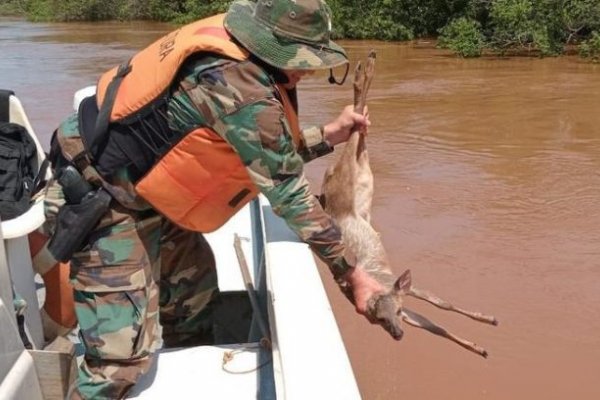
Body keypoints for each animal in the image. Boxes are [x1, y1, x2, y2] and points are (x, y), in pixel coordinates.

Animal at [322, 51, 500, 358]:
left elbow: (442, 306)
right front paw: (478, 347)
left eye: (397, 312)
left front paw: (485, 322)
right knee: (358, 136)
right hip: (358, 178)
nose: (397, 333)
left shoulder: (401, 286)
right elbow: (437, 327)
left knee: (356, 132)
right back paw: (364, 67)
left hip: (351, 179)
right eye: (379, 319)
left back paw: (365, 67)